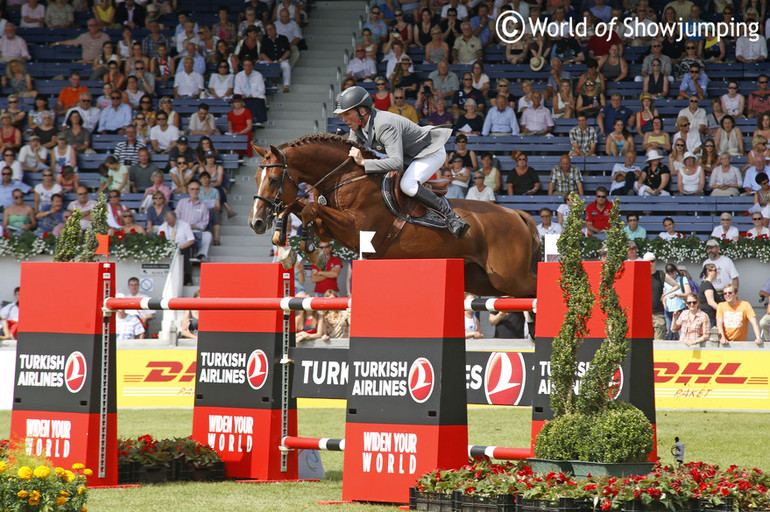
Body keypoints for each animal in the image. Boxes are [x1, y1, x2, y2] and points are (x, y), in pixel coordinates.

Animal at [249, 134, 536, 298]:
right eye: (255, 178)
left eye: (273, 179)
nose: (256, 223)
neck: (347, 176)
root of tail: (516, 214)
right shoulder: (331, 228)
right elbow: (299, 208)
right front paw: (288, 244)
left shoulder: (355, 228)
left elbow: (309, 209)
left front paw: (308, 250)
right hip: (482, 280)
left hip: (507, 276)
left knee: (533, 288)